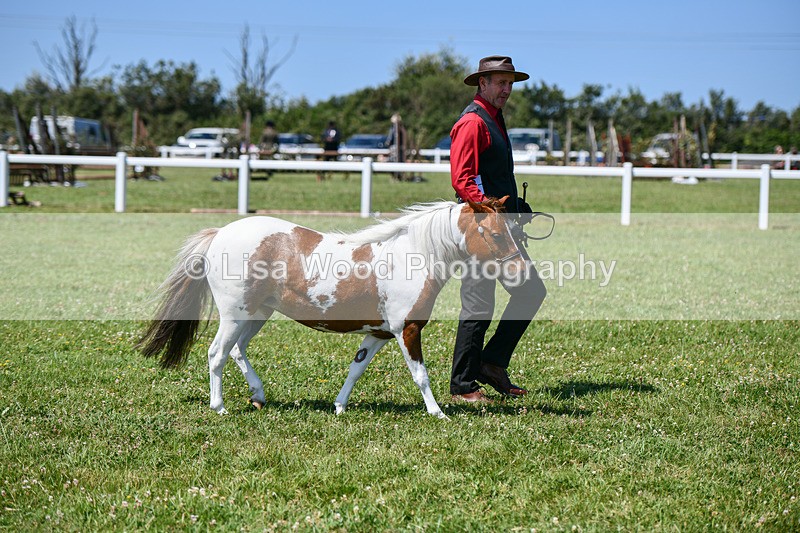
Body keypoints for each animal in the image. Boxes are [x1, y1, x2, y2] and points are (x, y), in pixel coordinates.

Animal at [138, 197, 527, 419]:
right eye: (496, 234)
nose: (521, 272)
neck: (411, 256)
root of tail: (219, 233)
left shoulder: (379, 334)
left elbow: (356, 369)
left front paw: (339, 407)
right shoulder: (407, 330)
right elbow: (420, 375)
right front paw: (437, 414)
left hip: (257, 314)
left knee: (236, 351)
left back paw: (258, 396)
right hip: (235, 314)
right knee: (217, 353)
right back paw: (219, 407)